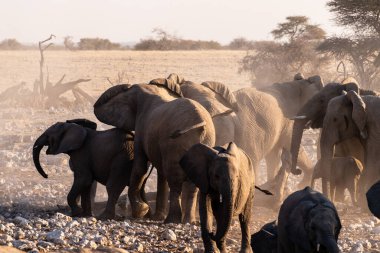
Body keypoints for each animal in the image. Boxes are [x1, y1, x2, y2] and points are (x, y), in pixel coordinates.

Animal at [93, 83, 215, 223]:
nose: (127, 84)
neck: (148, 89)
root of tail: (200, 123)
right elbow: (159, 172)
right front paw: (151, 215)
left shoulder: (142, 127)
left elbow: (140, 167)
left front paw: (141, 211)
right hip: (205, 141)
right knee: (190, 184)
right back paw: (188, 221)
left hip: (176, 143)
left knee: (174, 179)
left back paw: (172, 220)